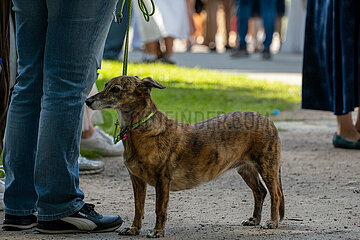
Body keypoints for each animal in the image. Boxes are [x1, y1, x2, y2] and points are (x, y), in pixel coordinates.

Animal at [86, 76, 284, 237]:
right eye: (105, 85)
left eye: (115, 89)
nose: (87, 101)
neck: (140, 129)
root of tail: (267, 120)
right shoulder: (136, 179)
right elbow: (138, 207)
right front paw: (134, 229)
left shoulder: (162, 180)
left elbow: (159, 208)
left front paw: (158, 231)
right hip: (245, 169)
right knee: (260, 191)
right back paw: (254, 219)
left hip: (267, 167)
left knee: (275, 194)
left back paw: (272, 222)